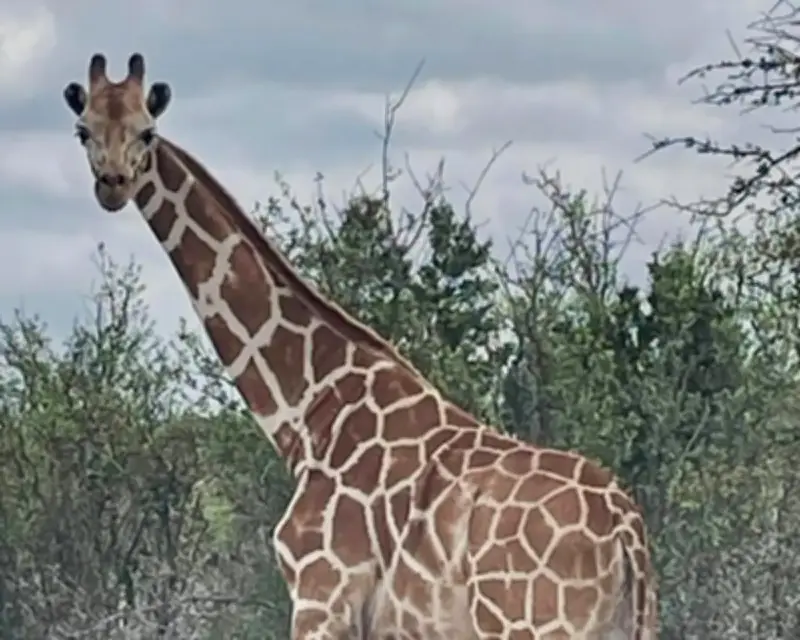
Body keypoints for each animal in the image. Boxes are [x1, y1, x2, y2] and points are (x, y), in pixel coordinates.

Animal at [62, 53, 659, 639]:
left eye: (147, 132)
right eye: (83, 129)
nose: (113, 184)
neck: (308, 411)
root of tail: (627, 529)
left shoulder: (320, 594)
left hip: (533, 623)